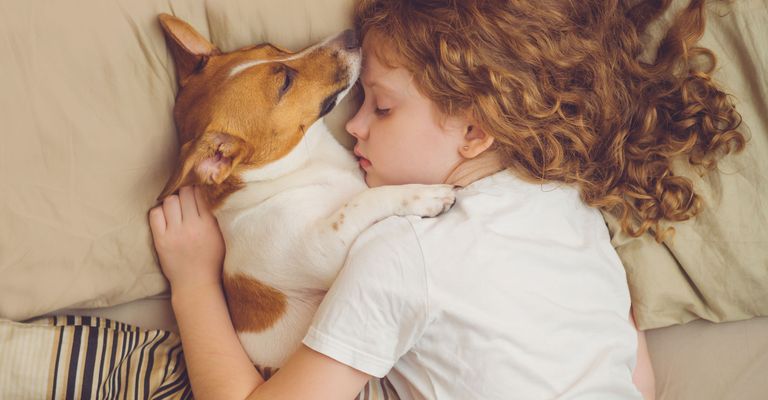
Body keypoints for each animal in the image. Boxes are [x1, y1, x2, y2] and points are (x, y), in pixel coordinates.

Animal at [156, 14, 456, 368]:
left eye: (270, 46)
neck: (297, 170)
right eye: (285, 82)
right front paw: (424, 194)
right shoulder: (324, 248)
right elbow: (364, 199)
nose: (352, 34)